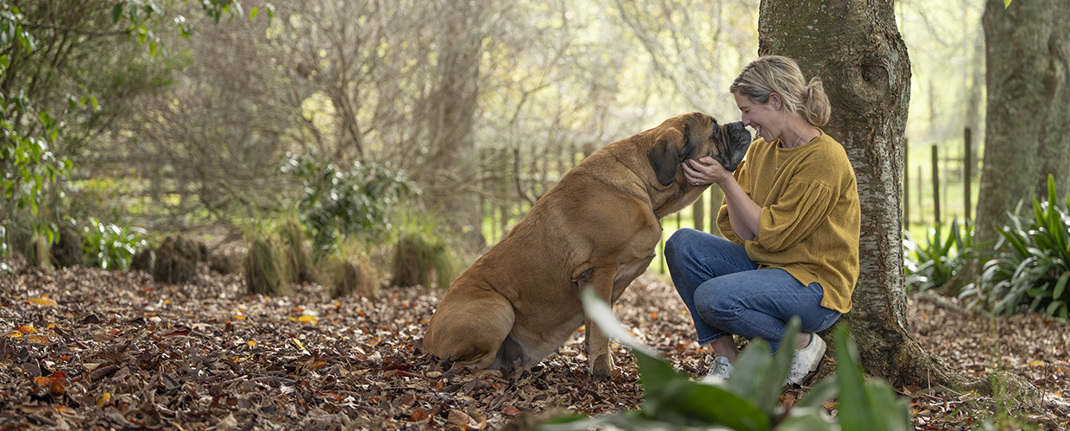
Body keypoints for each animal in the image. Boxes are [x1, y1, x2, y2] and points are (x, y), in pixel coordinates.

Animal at [421, 112, 749, 378]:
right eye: (715, 130)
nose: (740, 124)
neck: (644, 185)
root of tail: (426, 338)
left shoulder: (606, 282)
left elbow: (598, 325)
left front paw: (603, 363)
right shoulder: (602, 268)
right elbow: (601, 331)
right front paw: (603, 371)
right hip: (498, 309)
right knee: (457, 367)